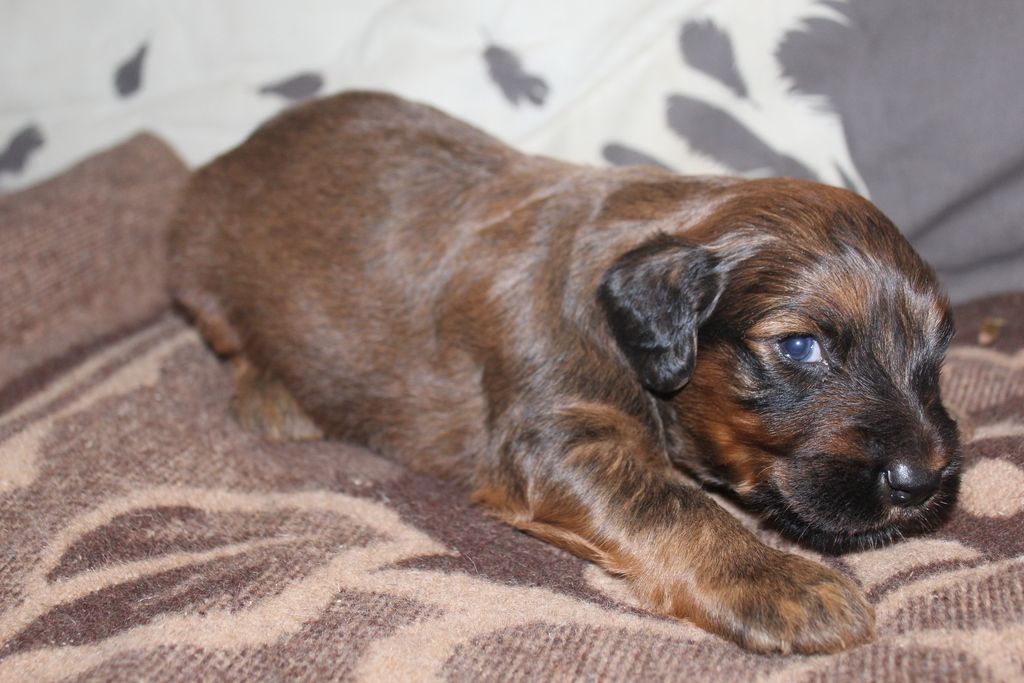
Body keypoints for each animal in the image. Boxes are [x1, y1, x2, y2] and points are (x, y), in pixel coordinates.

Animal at [167, 92, 958, 655]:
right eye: (799, 347)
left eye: (939, 349)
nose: (923, 482)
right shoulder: (561, 439)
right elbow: (674, 503)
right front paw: (781, 581)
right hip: (201, 274)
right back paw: (272, 394)